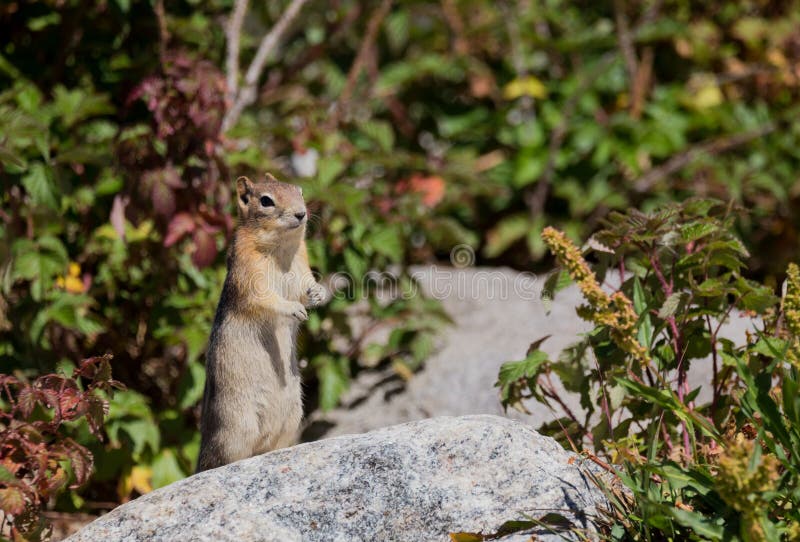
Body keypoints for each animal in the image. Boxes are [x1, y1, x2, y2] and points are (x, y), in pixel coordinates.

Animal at [197, 176, 328, 474]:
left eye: (299, 191)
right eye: (266, 200)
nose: (301, 213)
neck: (281, 248)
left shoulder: (302, 269)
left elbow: (306, 288)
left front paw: (319, 293)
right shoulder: (248, 274)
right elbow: (267, 300)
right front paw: (293, 310)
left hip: (293, 415)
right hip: (237, 425)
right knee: (224, 459)